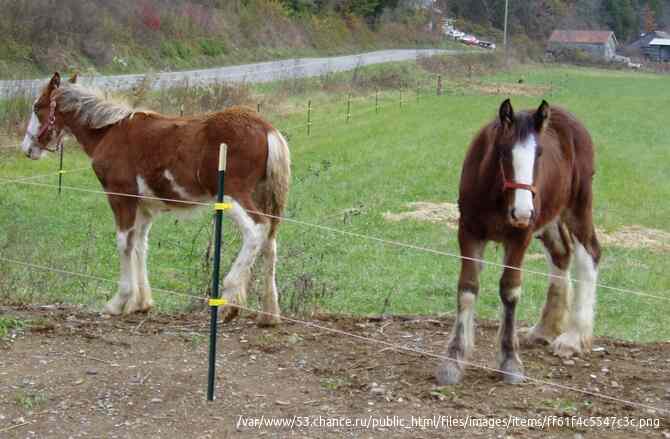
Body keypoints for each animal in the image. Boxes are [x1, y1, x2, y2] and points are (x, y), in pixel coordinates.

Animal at [20, 73, 288, 326]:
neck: (109, 132)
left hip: (233, 195)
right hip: (261, 195)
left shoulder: (121, 197)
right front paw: (141, 303)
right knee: (270, 240)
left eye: (37, 106)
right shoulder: (144, 207)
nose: (27, 148)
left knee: (257, 229)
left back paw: (229, 301)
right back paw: (269, 313)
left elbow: (124, 243)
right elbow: (140, 244)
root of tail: (267, 129)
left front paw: (118, 302)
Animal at [438, 99, 608, 384]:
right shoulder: (469, 232)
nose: (522, 212)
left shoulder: (519, 237)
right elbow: (467, 289)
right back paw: (545, 329)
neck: (497, 196)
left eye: (539, 154)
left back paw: (573, 338)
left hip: (577, 205)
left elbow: (510, 290)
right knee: (561, 254)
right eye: (504, 152)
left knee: (589, 255)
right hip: (550, 217)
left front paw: (509, 361)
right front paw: (454, 359)